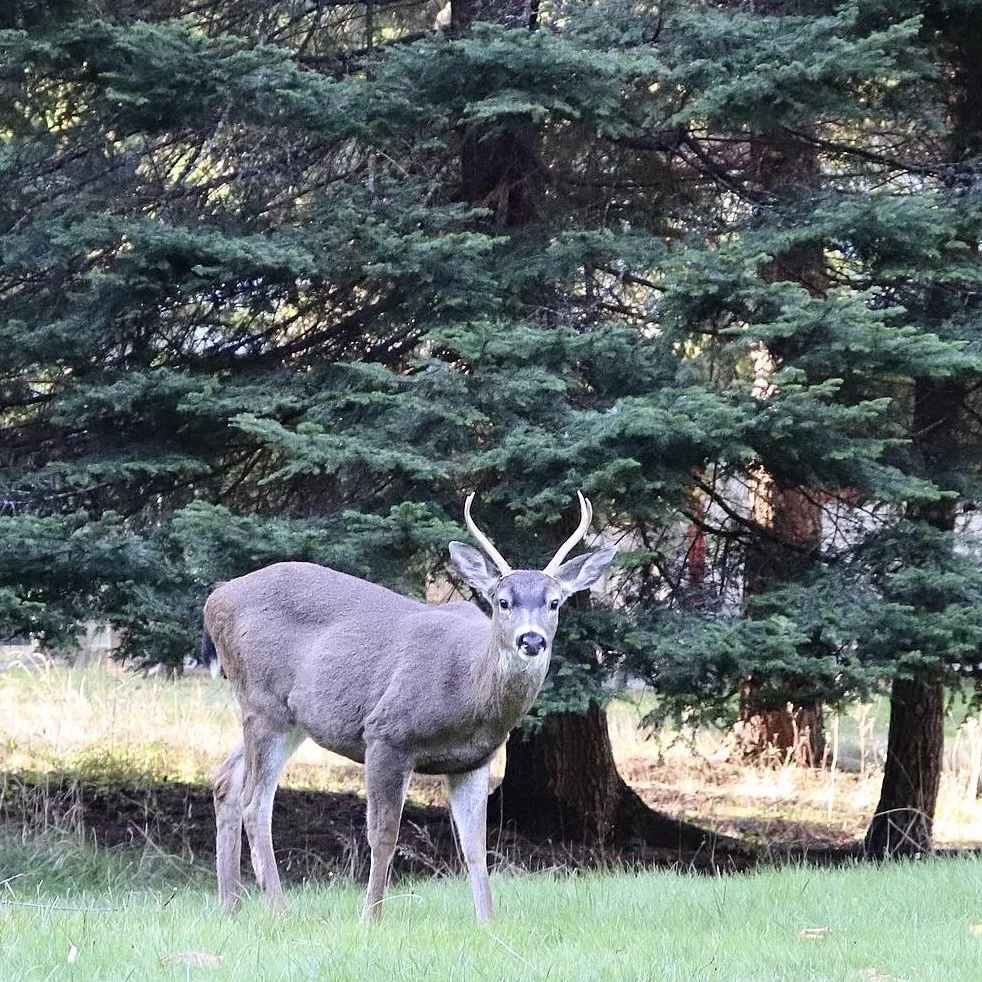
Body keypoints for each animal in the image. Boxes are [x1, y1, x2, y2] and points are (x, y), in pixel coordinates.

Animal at [200, 492, 615, 923]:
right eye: (503, 601)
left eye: (555, 602)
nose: (531, 640)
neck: (468, 690)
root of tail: (215, 597)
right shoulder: (386, 735)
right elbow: (383, 835)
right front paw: (370, 917)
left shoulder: (474, 760)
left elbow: (475, 846)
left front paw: (487, 921)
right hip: (263, 704)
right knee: (254, 802)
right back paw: (280, 910)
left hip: (286, 716)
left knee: (225, 781)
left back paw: (230, 907)